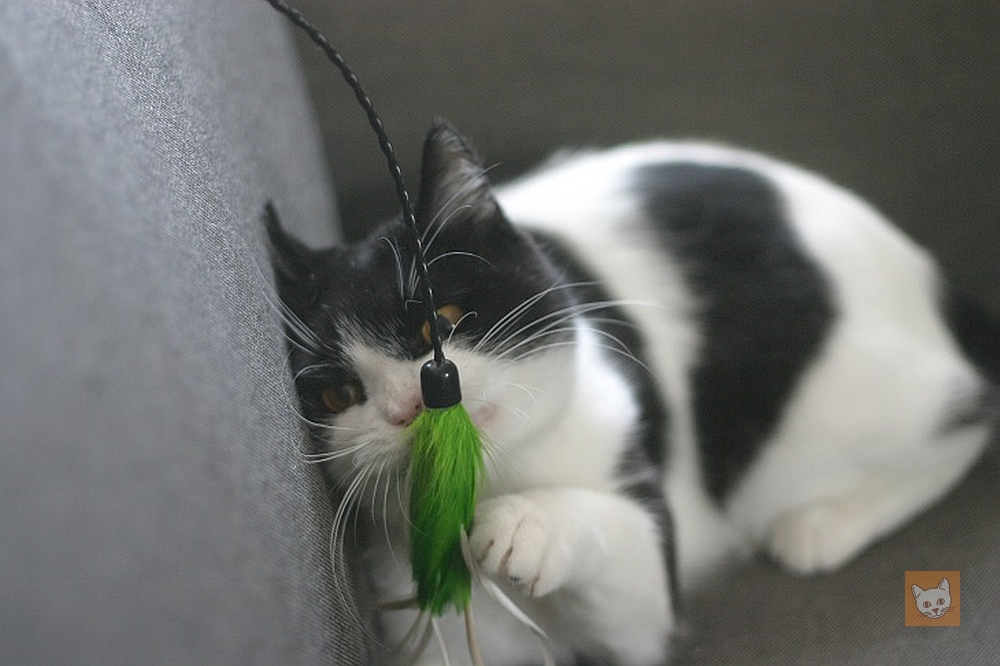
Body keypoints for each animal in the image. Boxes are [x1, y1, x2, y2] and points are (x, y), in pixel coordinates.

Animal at [268, 122, 1000, 660]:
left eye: (437, 323)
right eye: (336, 396)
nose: (406, 408)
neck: (495, 477)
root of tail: (931, 275)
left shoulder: (639, 545)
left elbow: (626, 553)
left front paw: (529, 523)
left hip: (838, 405)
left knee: (968, 413)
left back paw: (821, 524)